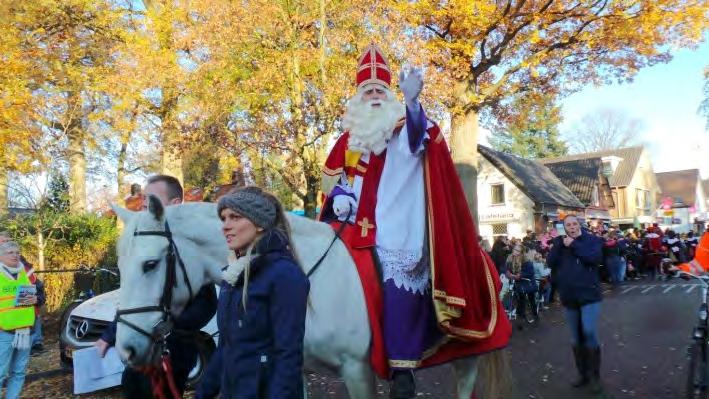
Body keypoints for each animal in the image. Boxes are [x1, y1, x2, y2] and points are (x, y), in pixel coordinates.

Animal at [112, 198, 498, 398]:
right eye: (119, 266)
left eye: (150, 264)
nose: (126, 349)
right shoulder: (292, 365)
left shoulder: (358, 371)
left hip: (468, 355)